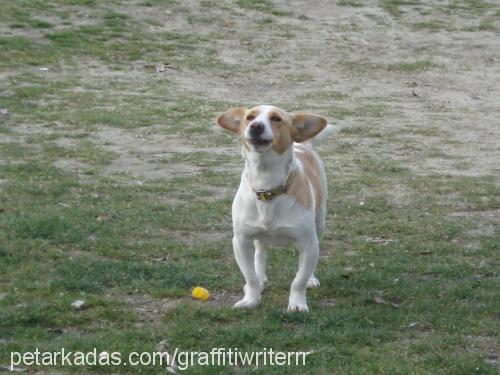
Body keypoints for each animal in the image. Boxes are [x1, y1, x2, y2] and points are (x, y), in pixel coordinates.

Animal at [216, 104, 336, 312]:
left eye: (276, 119)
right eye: (250, 117)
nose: (256, 126)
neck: (266, 186)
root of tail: (304, 145)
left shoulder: (308, 243)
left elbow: (299, 279)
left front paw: (297, 303)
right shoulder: (241, 241)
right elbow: (250, 276)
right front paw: (251, 299)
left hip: (319, 224)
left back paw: (311, 279)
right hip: (258, 236)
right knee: (260, 252)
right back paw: (260, 277)